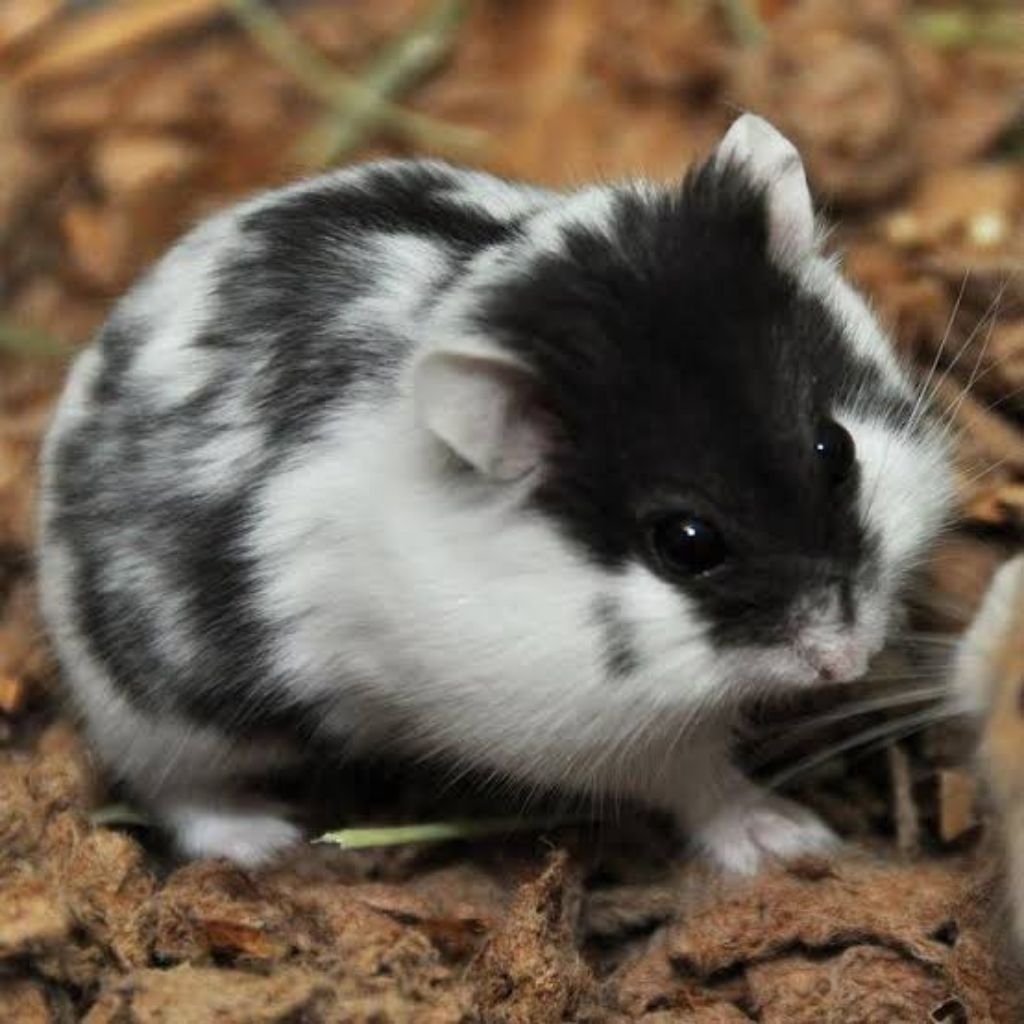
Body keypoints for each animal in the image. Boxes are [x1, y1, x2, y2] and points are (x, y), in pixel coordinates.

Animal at [37, 114, 954, 870]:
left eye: (836, 450)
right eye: (686, 544)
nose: (847, 660)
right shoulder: (595, 734)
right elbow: (699, 780)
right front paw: (794, 841)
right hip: (162, 720)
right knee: (174, 790)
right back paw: (264, 840)